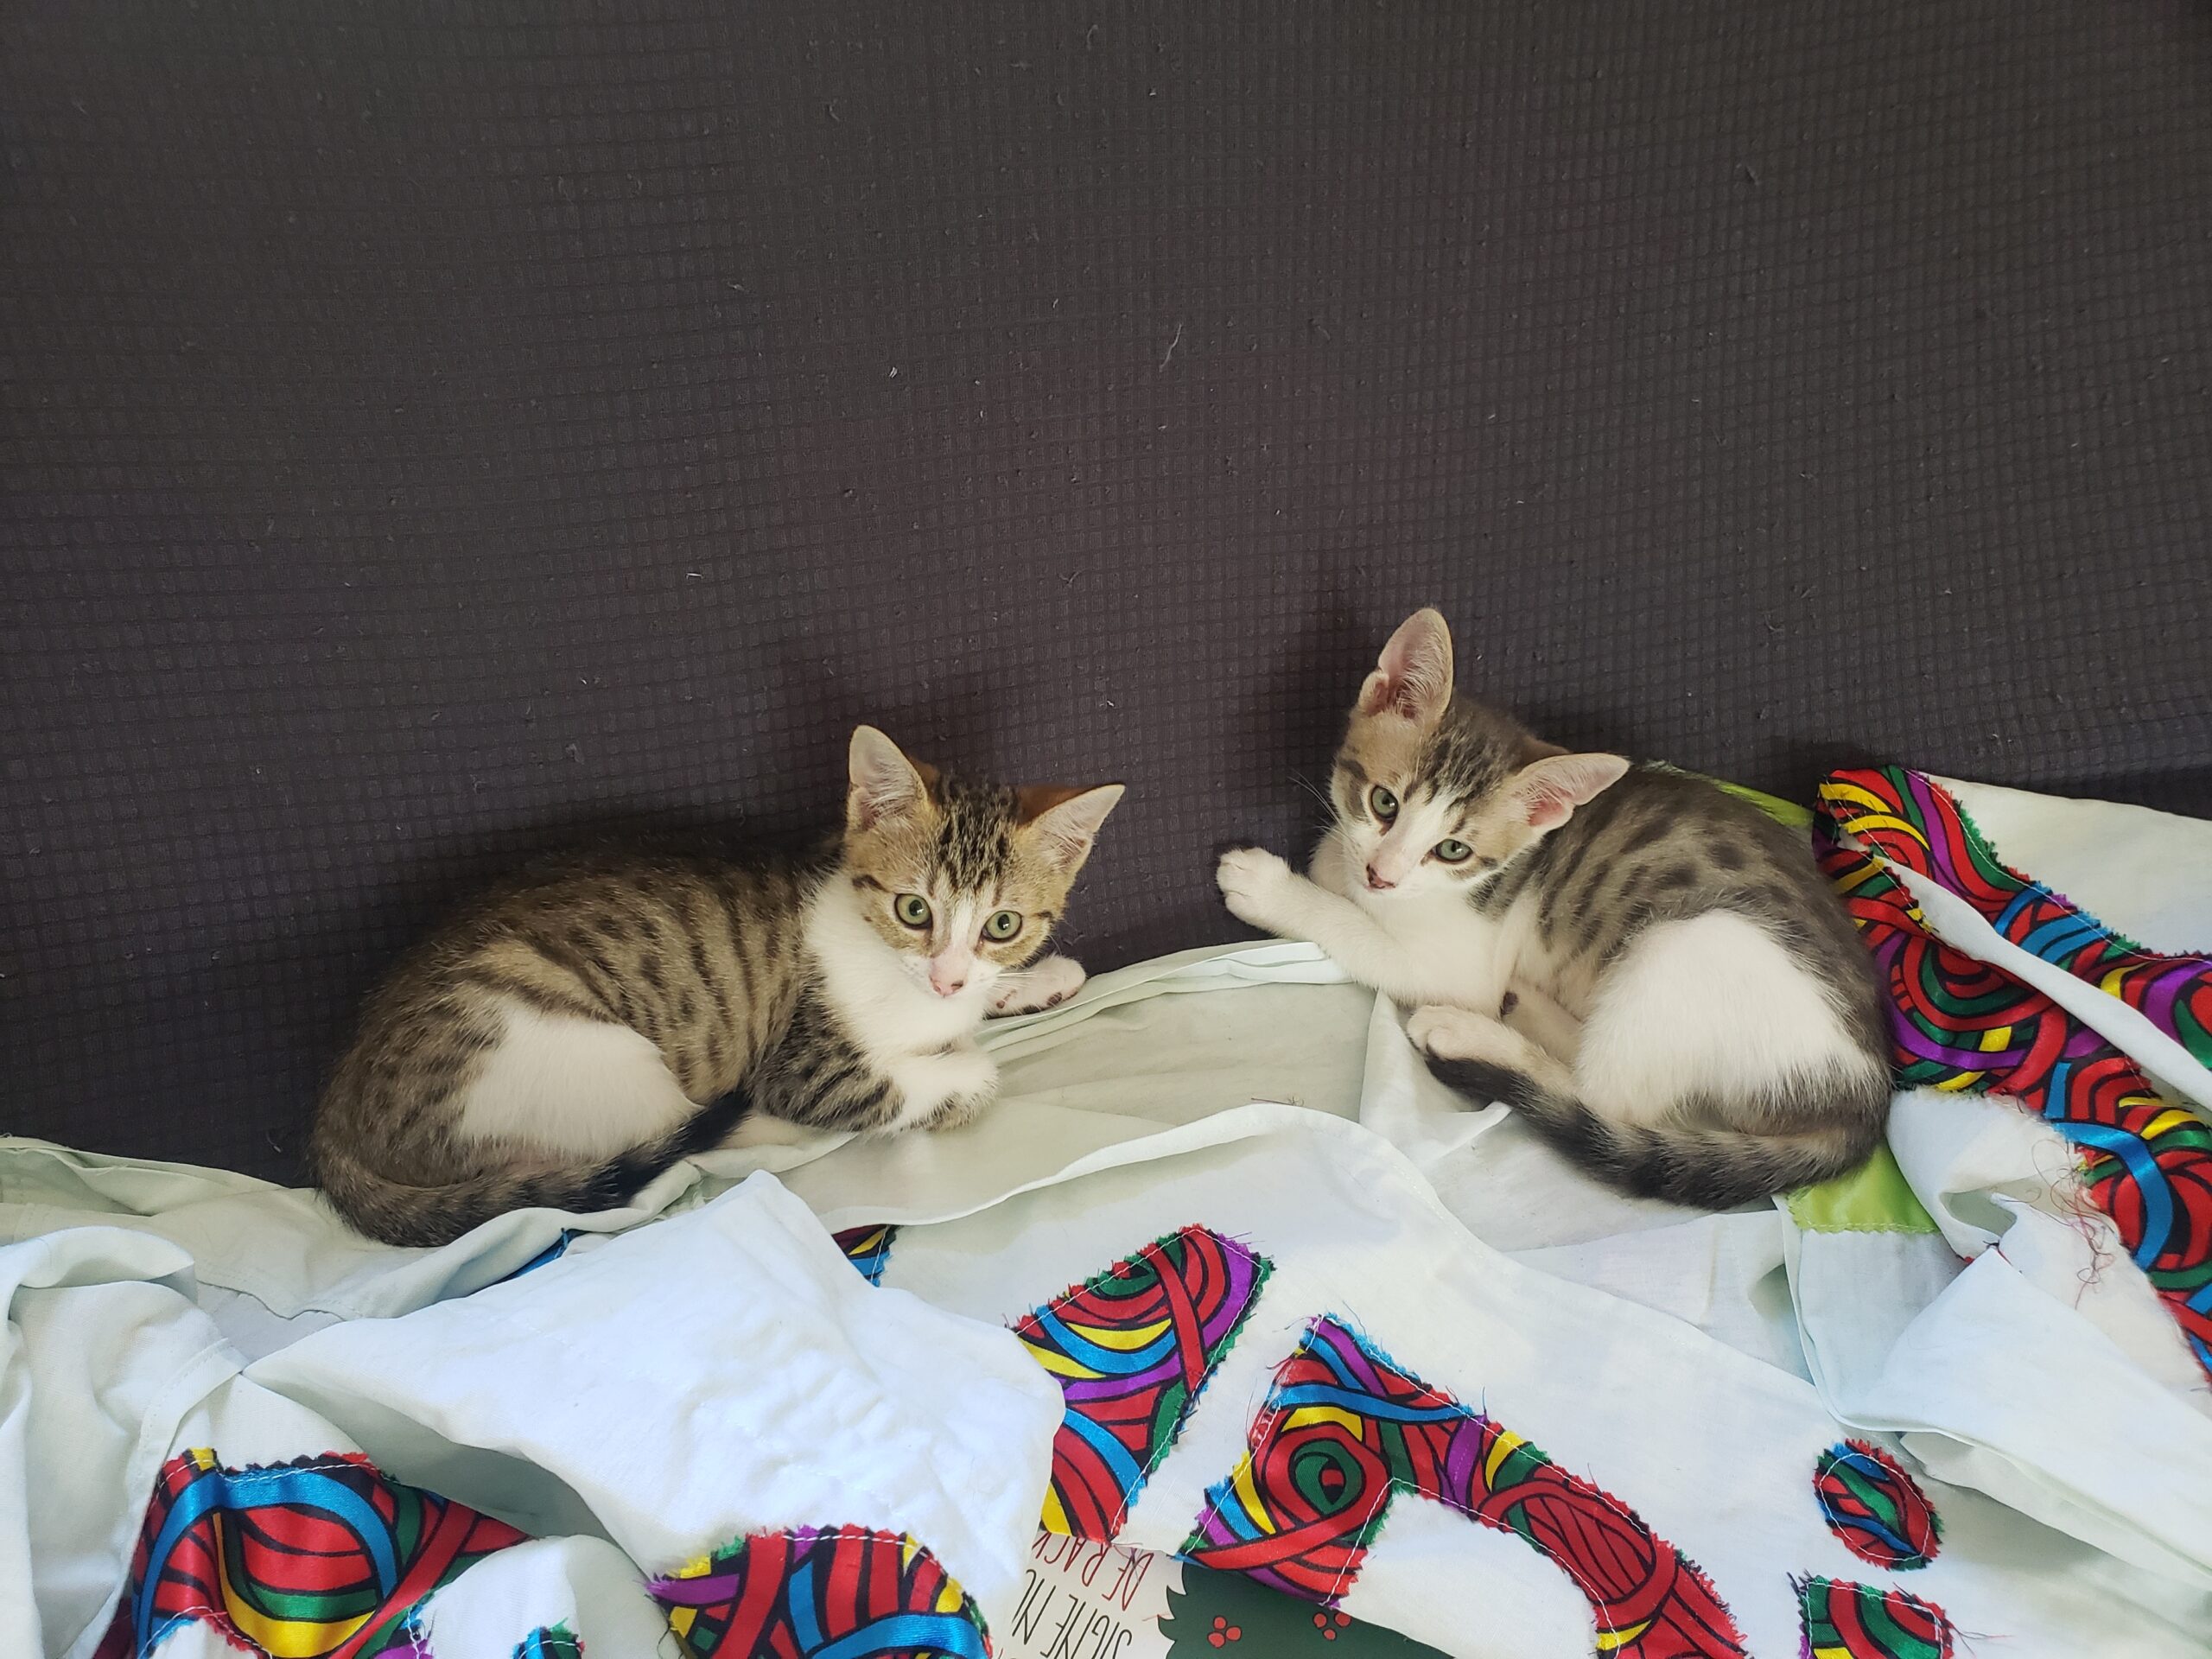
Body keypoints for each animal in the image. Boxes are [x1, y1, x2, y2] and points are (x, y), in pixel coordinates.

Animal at [311, 726, 1122, 1246]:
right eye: (913, 909)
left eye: (1003, 924)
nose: (947, 976)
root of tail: (334, 1120)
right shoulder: (810, 1065)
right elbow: (952, 1074)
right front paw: (962, 1065)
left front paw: (1033, 982)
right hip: (582, 1053)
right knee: (688, 1131)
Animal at [1216, 608, 1890, 1208]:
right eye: (1383, 802)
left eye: (1453, 849)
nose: (1382, 874)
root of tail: (1866, 1097)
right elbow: (1336, 863)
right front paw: (1335, 865)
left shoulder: (1458, 962)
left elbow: (1358, 929)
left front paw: (1269, 887)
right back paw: (1529, 1005)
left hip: (1692, 943)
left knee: (1603, 1100)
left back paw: (1469, 1035)